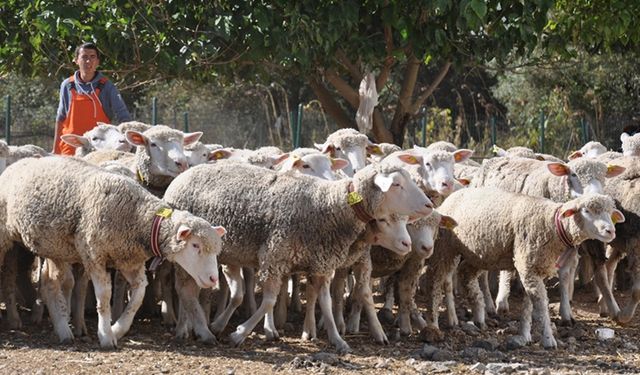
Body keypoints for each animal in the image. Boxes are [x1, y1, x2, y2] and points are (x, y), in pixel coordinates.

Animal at [0, 156, 228, 350]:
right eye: (195, 246)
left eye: (216, 249)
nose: (213, 278)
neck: (139, 219)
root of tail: (16, 164)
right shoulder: (94, 255)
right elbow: (103, 297)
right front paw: (106, 336)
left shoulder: (129, 261)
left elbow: (138, 296)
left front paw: (118, 329)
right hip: (7, 238)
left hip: (56, 248)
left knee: (49, 284)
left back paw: (63, 330)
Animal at [422, 188, 624, 350]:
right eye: (586, 210)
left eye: (609, 212)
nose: (611, 231)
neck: (551, 225)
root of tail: (455, 194)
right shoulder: (528, 265)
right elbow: (541, 306)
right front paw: (548, 340)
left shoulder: (533, 267)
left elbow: (528, 306)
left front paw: (525, 335)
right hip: (445, 248)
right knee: (436, 282)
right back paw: (434, 325)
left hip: (479, 254)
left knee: (466, 274)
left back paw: (479, 316)